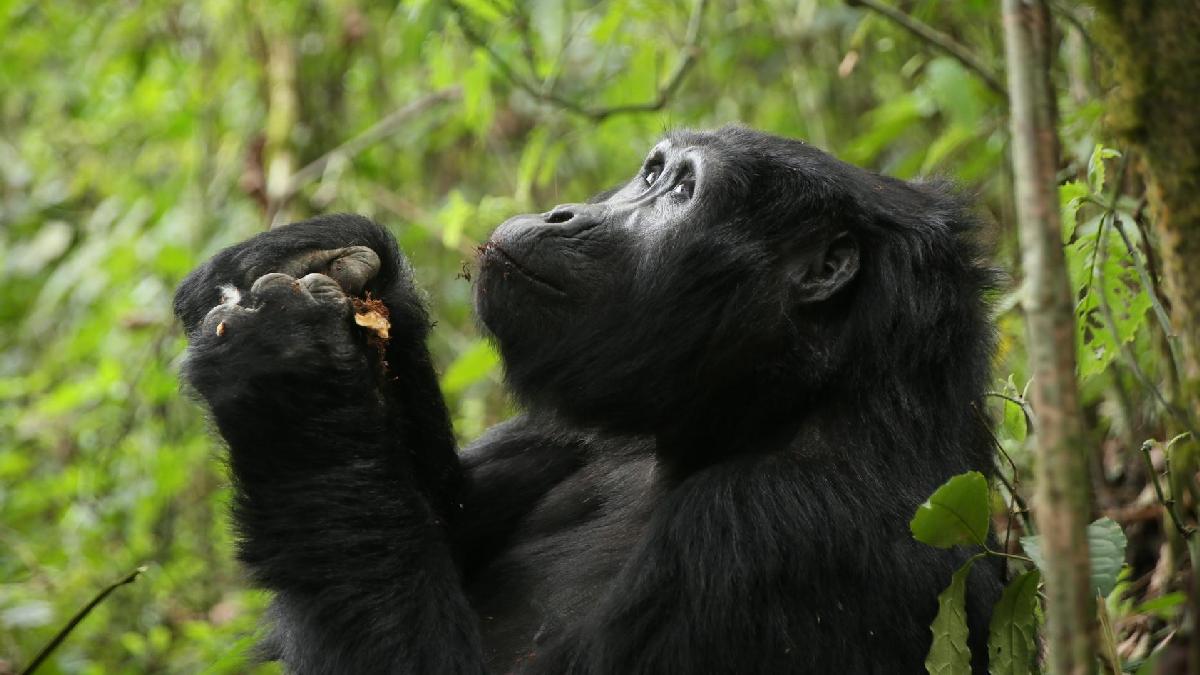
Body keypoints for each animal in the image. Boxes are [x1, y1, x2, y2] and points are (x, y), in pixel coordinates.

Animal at [175, 124, 1003, 667]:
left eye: (681, 191)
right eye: (650, 171)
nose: (566, 212)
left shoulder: (774, 532)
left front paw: (292, 386)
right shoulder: (576, 431)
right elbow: (447, 509)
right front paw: (328, 256)